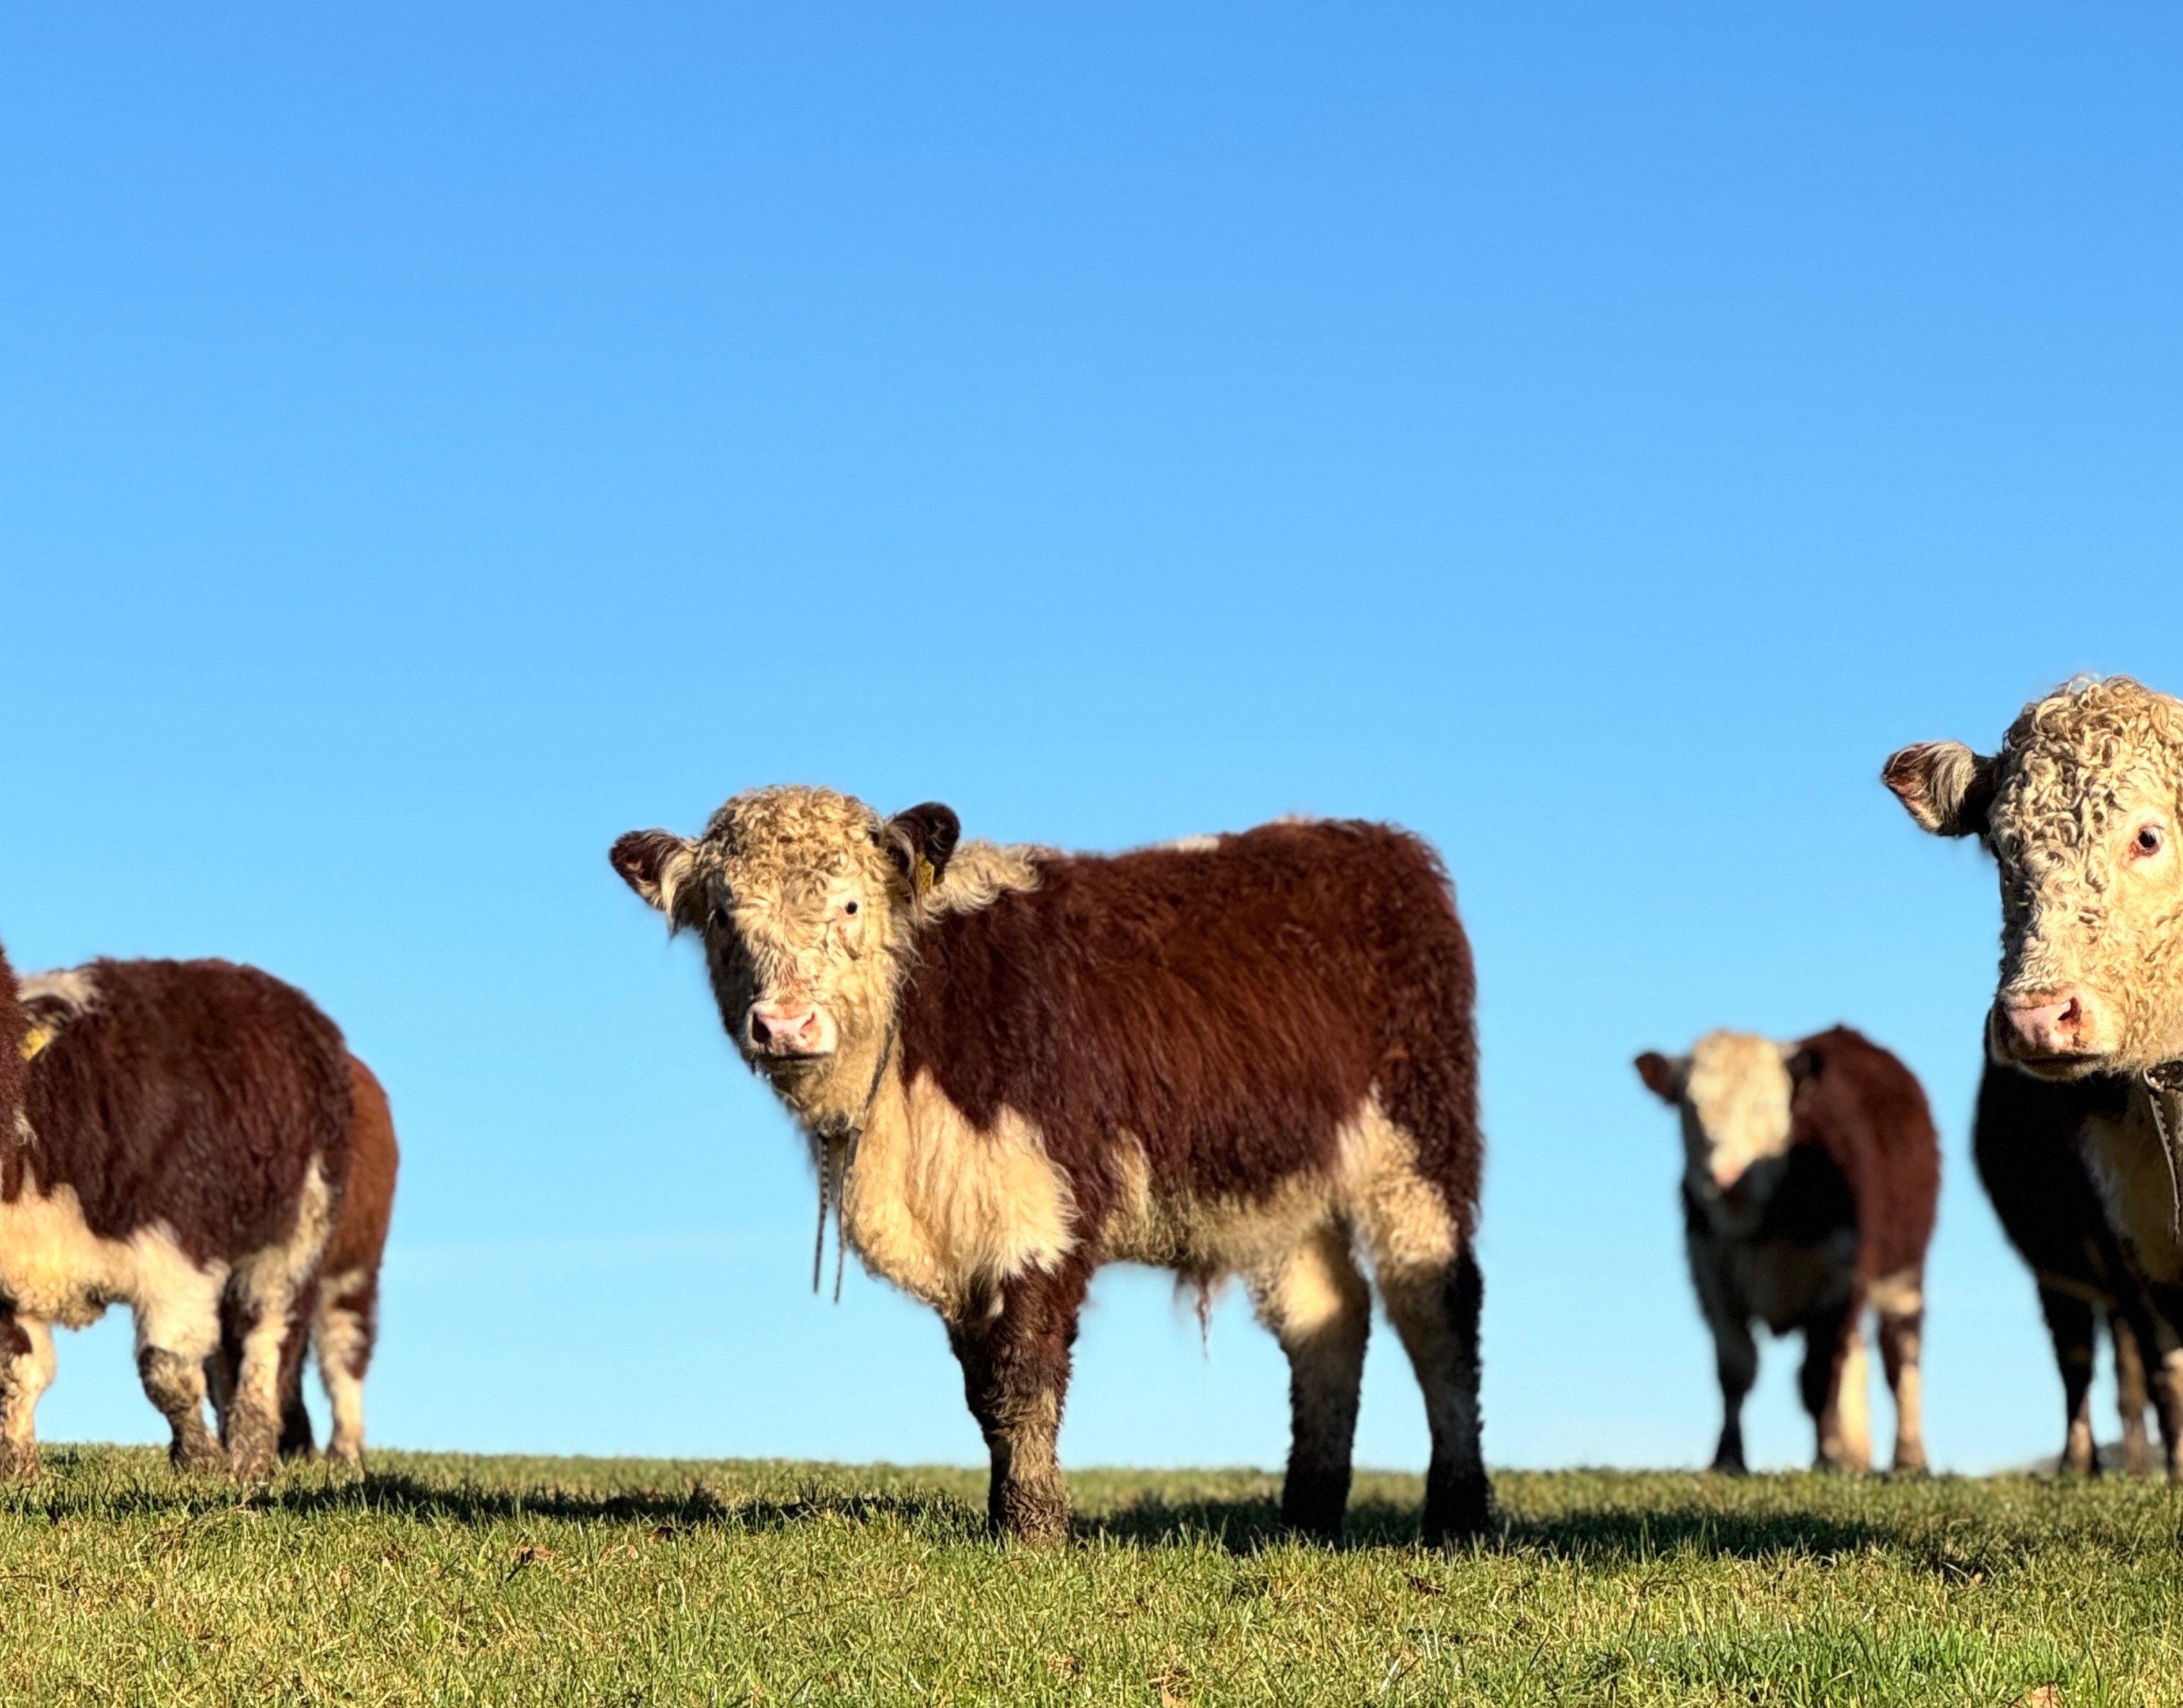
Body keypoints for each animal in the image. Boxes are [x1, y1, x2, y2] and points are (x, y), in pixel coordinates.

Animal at [5, 958, 352, 1479]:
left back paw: (251, 1453)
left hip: (293, 1236)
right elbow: (20, 1370)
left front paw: (200, 1461)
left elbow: (166, 1369)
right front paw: (19, 1468)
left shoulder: (179, 1249)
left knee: (264, 1336)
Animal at [612, 788, 1487, 1545]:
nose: (785, 1024)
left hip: (1415, 1151)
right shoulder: (960, 1229)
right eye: (722, 914)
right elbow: (983, 1389)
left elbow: (1024, 1373)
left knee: (1438, 1316)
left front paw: (1033, 1531)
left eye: (852, 904)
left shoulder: (1036, 1204)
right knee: (1327, 1320)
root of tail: (1365, 839)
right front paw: (1008, 1515)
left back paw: (1457, 1514)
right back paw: (1305, 1517)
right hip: (1281, 1186)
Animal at [1635, 1027, 1939, 1474]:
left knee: (1900, 1356)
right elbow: (1735, 1371)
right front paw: (1728, 1457)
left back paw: (1908, 1457)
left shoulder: (1840, 1284)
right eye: (1692, 1108)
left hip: (1903, 1272)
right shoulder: (1713, 1280)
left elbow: (1819, 1376)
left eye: (1767, 1104)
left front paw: (1825, 1457)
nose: (1726, 1174)